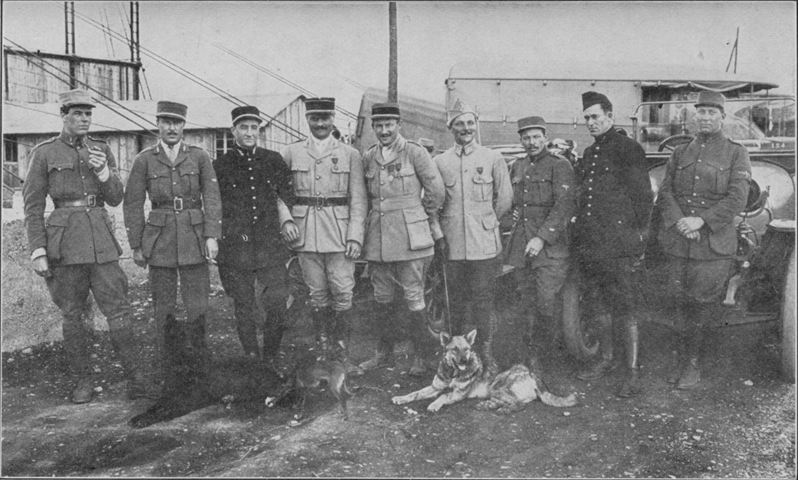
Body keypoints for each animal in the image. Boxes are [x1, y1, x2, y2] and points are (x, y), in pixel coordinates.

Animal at [392, 328, 576, 414]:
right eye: (454, 349)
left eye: (466, 349)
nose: (464, 361)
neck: (453, 373)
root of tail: (531, 373)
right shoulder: (434, 387)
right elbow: (415, 393)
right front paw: (401, 398)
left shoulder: (457, 394)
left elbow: (443, 396)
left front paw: (434, 404)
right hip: (495, 390)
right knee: (507, 401)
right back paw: (487, 405)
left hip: (498, 384)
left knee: (519, 404)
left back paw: (503, 409)